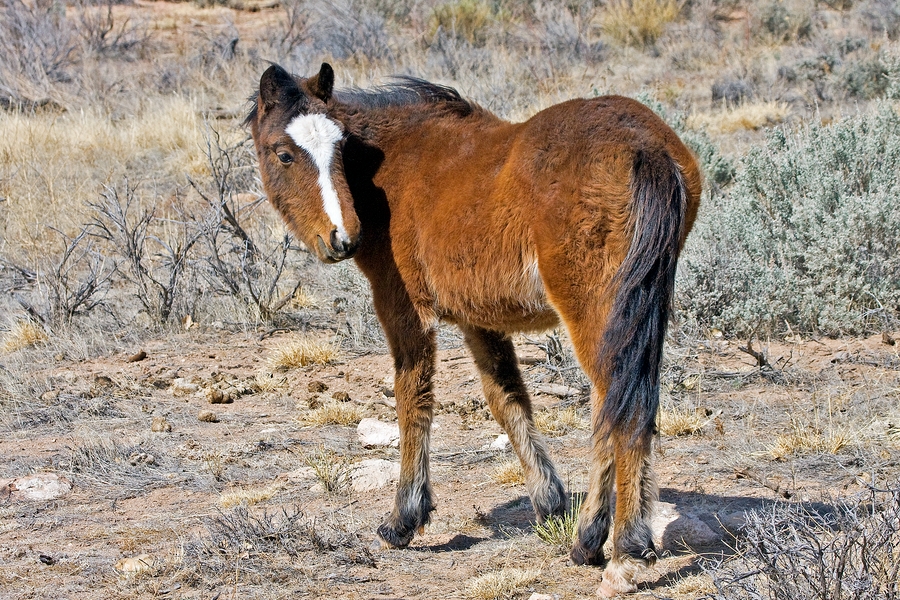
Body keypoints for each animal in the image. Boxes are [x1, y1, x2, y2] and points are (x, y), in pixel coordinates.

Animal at [248, 61, 704, 596]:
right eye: (284, 153)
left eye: (339, 150)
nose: (343, 239)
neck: (395, 167)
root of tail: (645, 147)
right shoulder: (478, 320)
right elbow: (507, 400)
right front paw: (548, 500)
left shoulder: (405, 313)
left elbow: (413, 399)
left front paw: (404, 519)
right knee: (615, 406)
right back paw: (589, 539)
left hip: (595, 310)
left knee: (622, 409)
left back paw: (623, 552)